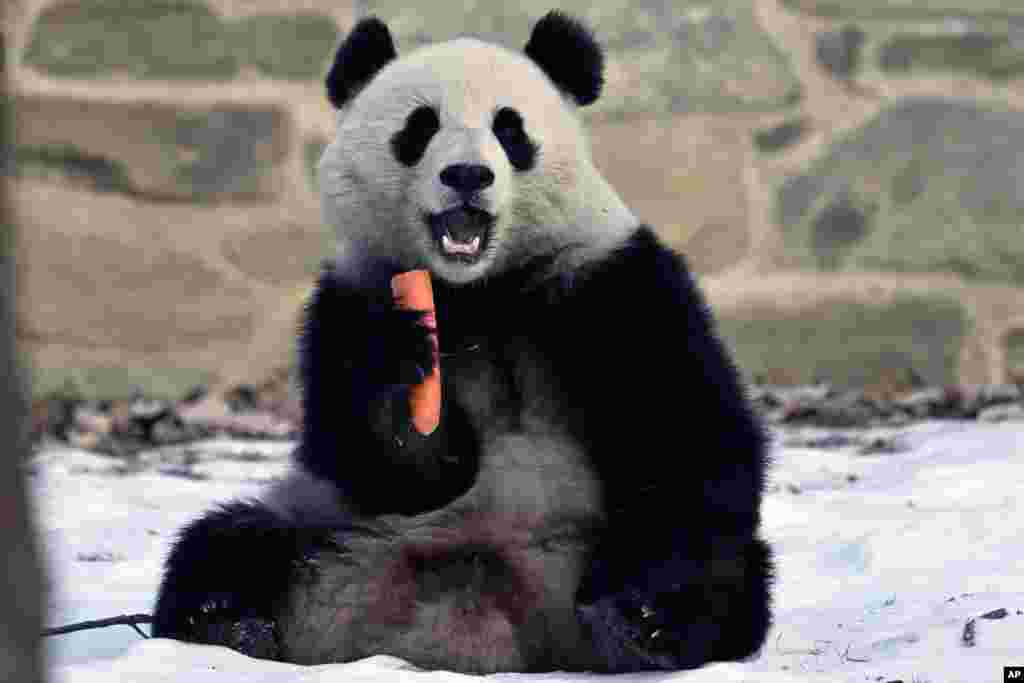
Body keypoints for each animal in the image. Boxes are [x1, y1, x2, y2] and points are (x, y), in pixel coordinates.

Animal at [152, 11, 772, 674]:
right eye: (420, 127)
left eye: (510, 128)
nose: (468, 175)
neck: (477, 290)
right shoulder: (346, 301)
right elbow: (376, 463)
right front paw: (403, 372)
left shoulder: (612, 281)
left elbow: (684, 433)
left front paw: (642, 613)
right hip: (328, 527)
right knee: (228, 540)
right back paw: (229, 618)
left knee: (734, 577)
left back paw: (646, 631)